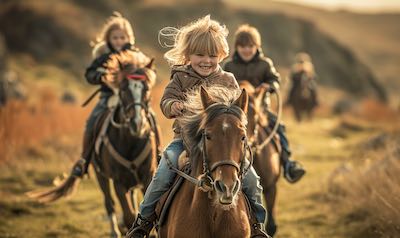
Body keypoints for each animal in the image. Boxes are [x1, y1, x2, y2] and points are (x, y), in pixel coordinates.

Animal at [26, 52, 159, 238]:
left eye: (146, 88)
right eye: (124, 89)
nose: (137, 124)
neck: (131, 141)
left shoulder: (148, 176)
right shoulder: (118, 182)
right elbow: (128, 215)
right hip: (100, 175)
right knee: (109, 203)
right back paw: (115, 231)